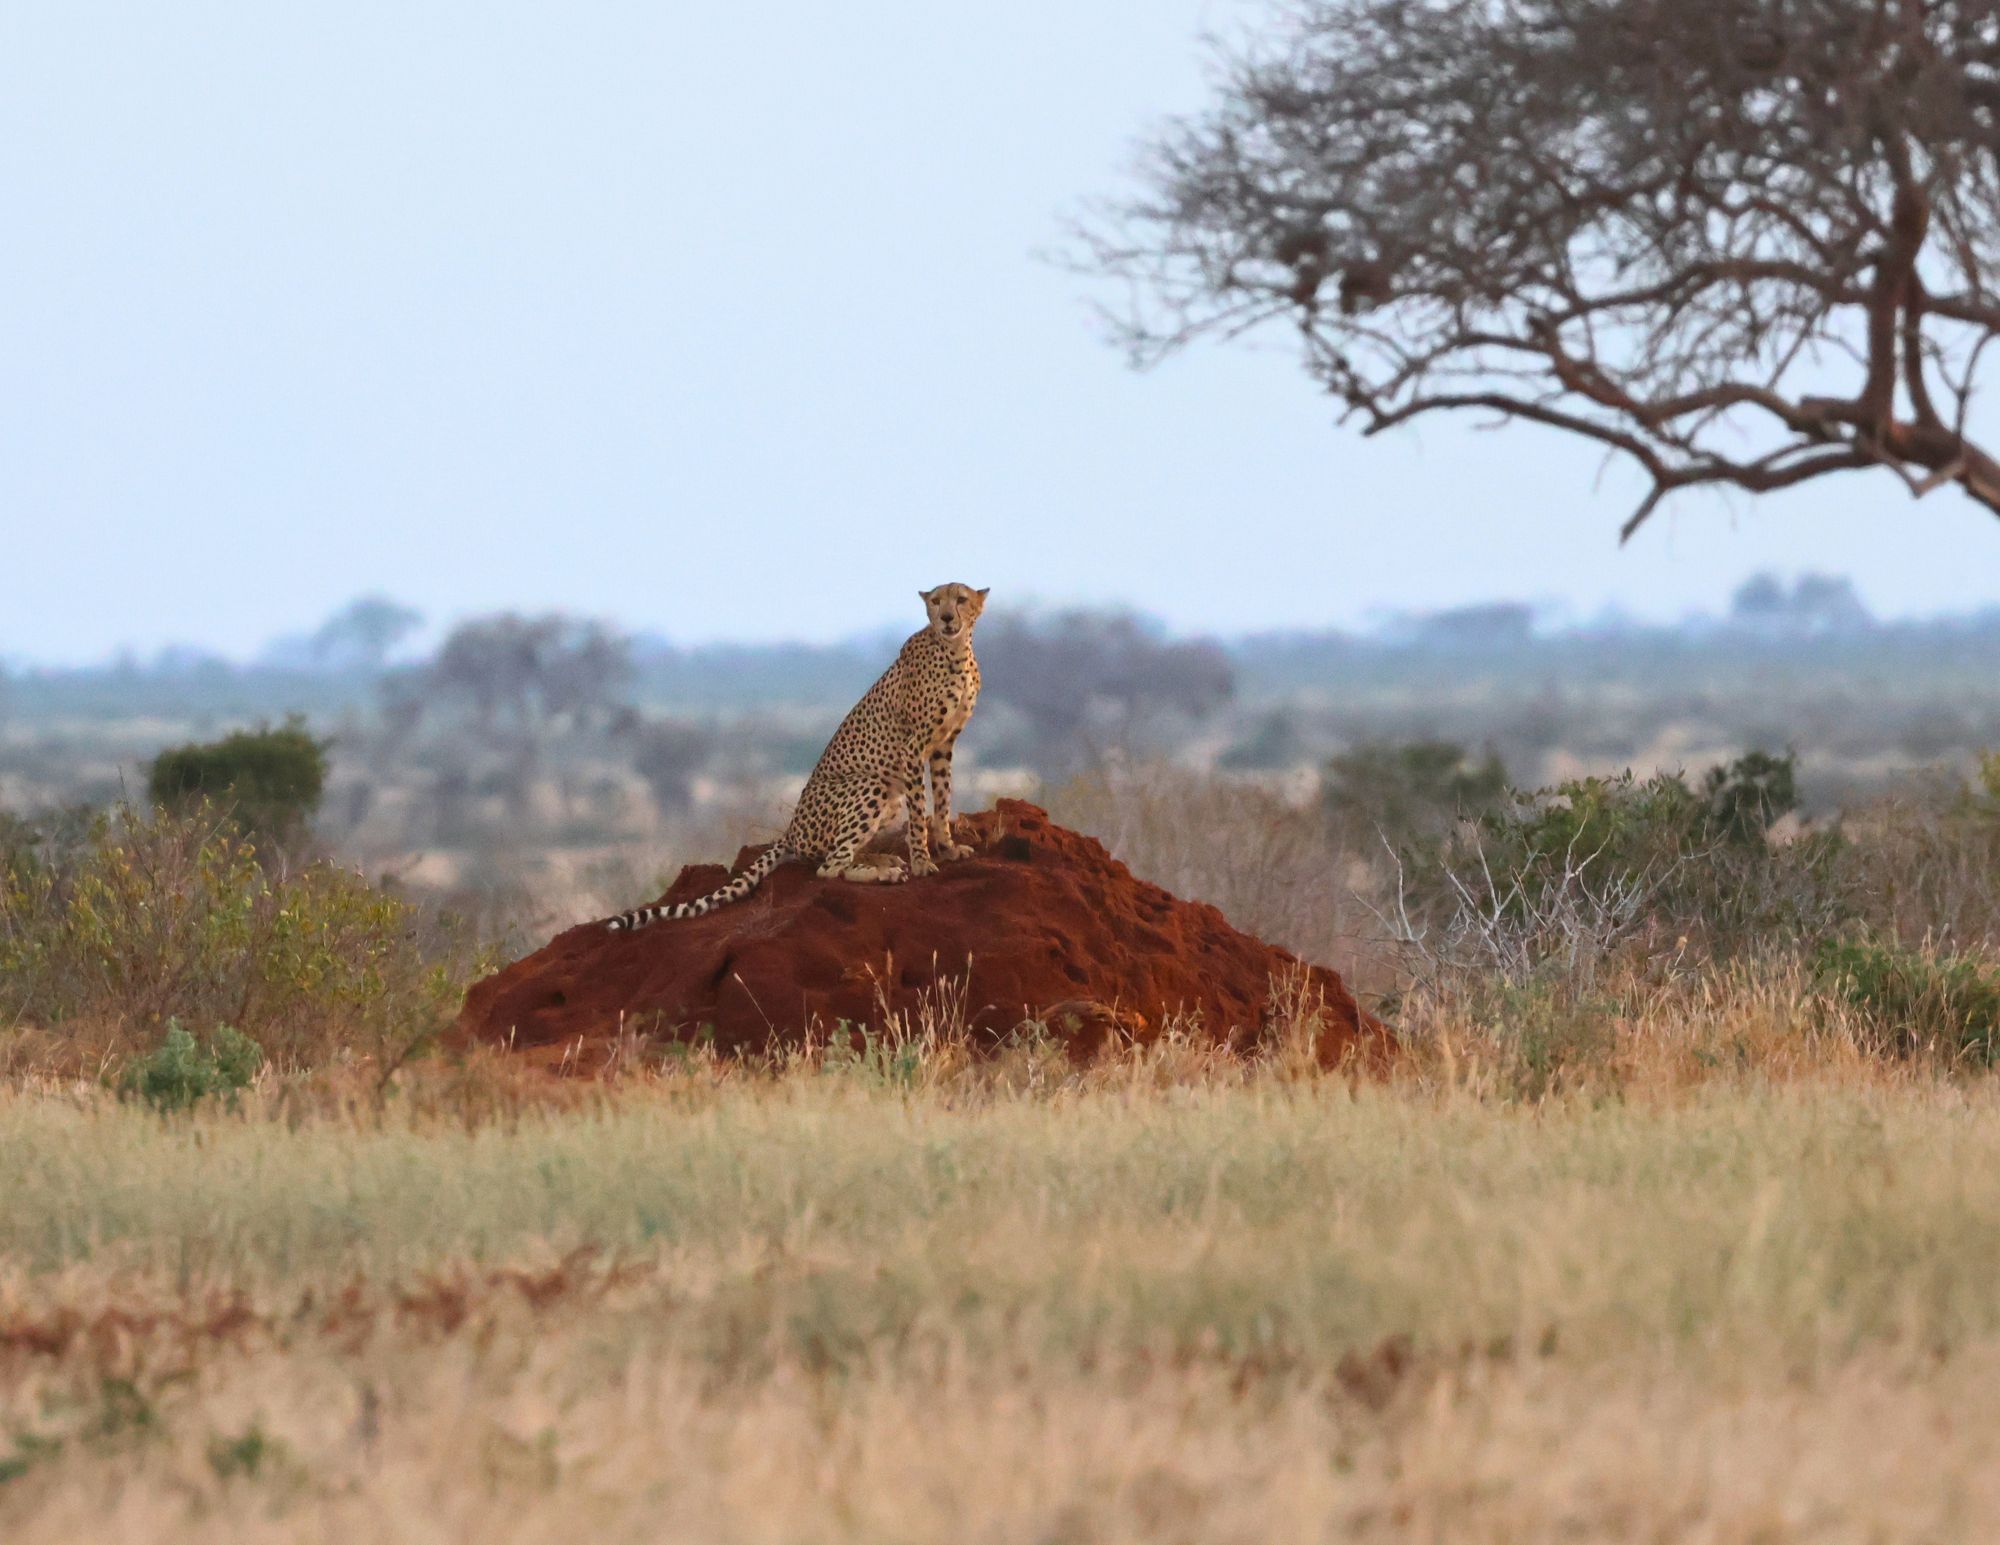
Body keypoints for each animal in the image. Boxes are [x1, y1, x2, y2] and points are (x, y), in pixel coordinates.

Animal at [605, 583, 987, 932]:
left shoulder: (943, 745)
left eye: (960, 599)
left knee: (836, 854)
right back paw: (884, 872)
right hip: (873, 782)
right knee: (828, 867)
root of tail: (790, 831)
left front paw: (948, 848)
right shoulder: (913, 747)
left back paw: (880, 858)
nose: (947, 617)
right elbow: (920, 812)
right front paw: (922, 861)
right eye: (936, 601)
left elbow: (942, 799)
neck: (955, 651)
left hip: (887, 795)